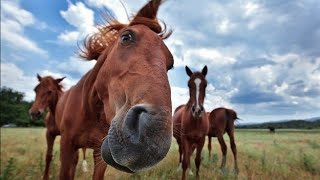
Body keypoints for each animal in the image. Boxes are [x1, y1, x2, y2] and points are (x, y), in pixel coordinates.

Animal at [54, 0, 174, 179]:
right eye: (126, 37)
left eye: (170, 64)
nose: (152, 140)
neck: (91, 111)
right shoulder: (66, 147)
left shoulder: (99, 155)